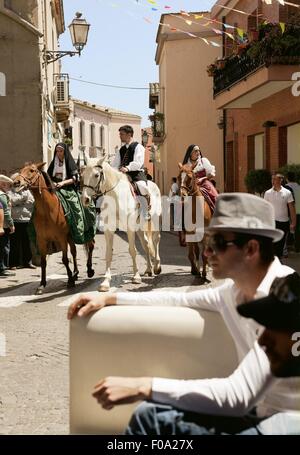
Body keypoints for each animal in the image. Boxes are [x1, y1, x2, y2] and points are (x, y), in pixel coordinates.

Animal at [13, 164, 94, 296]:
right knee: (74, 251)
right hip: (70, 236)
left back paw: (89, 270)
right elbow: (43, 262)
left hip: (87, 232)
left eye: (32, 170)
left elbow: (65, 260)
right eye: (21, 170)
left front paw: (70, 281)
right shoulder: (42, 240)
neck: (47, 210)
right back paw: (76, 273)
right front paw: (42, 284)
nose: (16, 182)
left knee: (90, 246)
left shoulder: (61, 238)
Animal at [81, 157, 162, 292]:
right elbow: (108, 254)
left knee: (155, 240)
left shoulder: (129, 228)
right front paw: (105, 282)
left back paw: (157, 266)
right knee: (146, 244)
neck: (115, 196)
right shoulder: (109, 229)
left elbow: (132, 250)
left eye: (96, 175)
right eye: (82, 175)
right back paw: (148, 269)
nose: (85, 199)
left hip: (154, 219)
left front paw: (136, 277)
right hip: (139, 227)